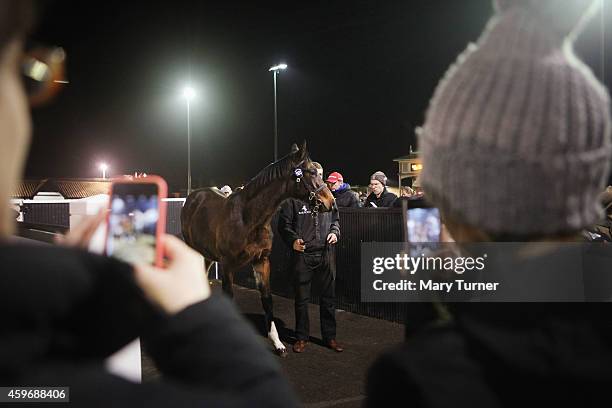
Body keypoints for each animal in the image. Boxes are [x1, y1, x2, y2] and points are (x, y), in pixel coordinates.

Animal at [182, 142, 334, 356]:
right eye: (311, 172)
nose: (331, 202)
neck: (248, 218)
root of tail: (193, 197)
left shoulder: (262, 261)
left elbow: (267, 299)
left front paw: (277, 343)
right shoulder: (228, 266)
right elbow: (229, 297)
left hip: (207, 256)